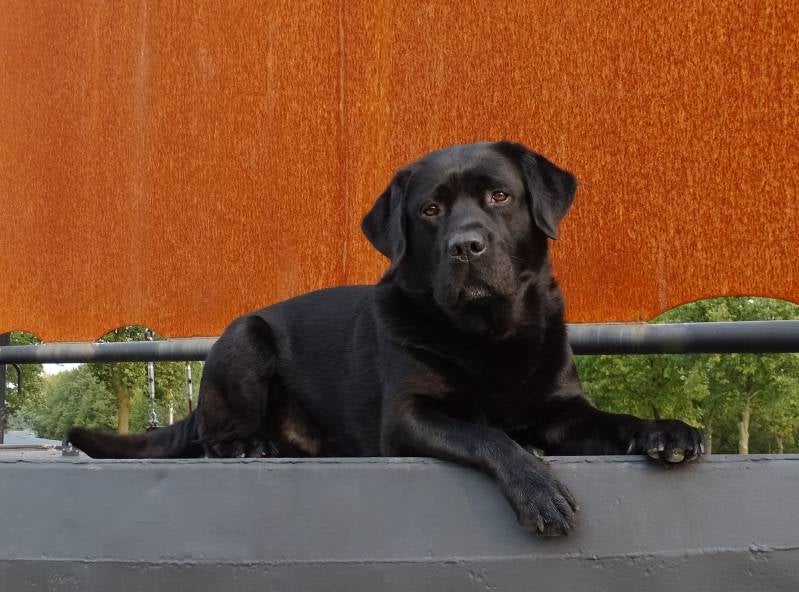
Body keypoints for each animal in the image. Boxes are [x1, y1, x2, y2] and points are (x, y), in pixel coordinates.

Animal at [69, 141, 703, 535]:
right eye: (430, 210)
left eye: (500, 196)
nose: (466, 246)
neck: (490, 336)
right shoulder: (408, 416)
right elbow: (490, 436)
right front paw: (537, 486)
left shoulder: (563, 411)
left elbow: (613, 421)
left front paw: (667, 431)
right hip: (245, 339)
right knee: (209, 437)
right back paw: (248, 445)